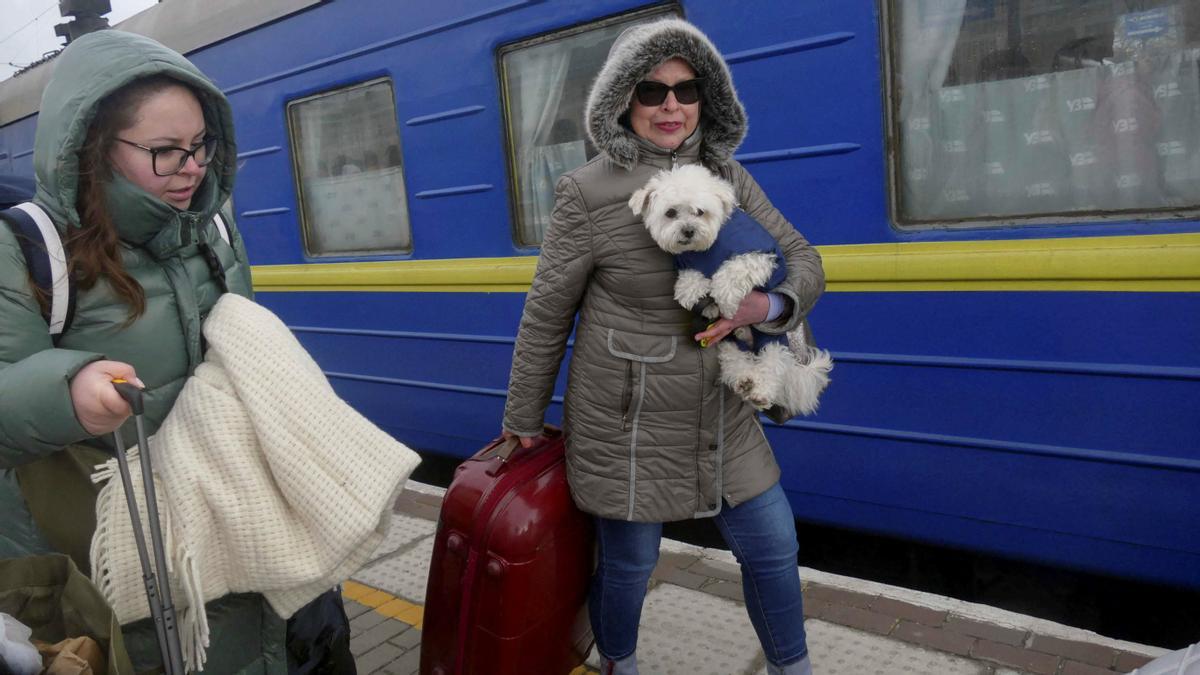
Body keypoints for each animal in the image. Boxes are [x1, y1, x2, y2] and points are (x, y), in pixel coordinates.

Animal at [633, 163, 830, 415]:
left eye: (700, 212)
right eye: (670, 213)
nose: (688, 230)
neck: (707, 249)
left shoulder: (760, 256)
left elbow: (730, 272)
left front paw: (724, 301)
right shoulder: (688, 262)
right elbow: (691, 277)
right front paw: (692, 292)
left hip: (771, 336)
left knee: (773, 360)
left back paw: (760, 391)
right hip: (728, 341)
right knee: (734, 360)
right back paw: (743, 379)